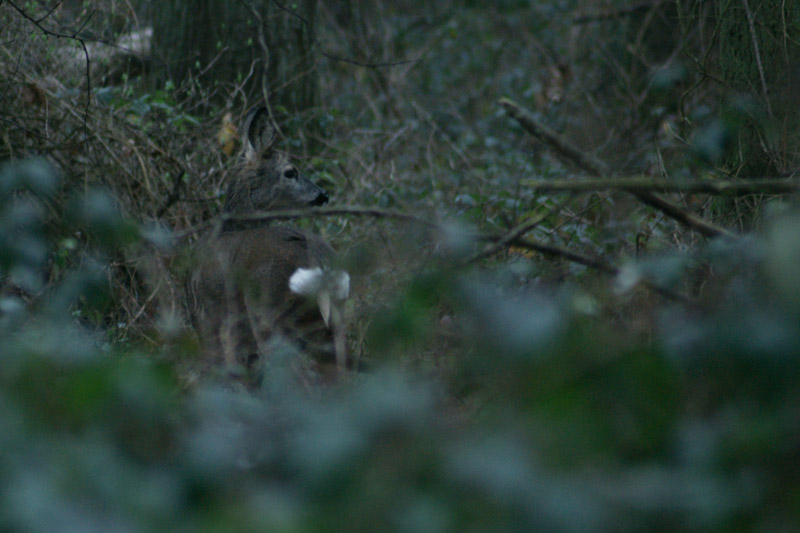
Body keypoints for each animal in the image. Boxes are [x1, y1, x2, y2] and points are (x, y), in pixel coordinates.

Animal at [189, 105, 352, 378]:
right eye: (291, 172)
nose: (324, 195)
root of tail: (318, 262)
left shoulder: (211, 314)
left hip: (267, 308)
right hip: (336, 316)